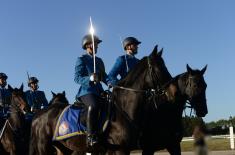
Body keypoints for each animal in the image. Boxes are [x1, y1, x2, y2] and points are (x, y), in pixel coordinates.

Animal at [29, 46, 173, 155]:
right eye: (159, 68)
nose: (171, 88)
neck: (123, 108)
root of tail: (38, 115)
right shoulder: (120, 149)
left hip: (63, 148)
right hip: (44, 148)